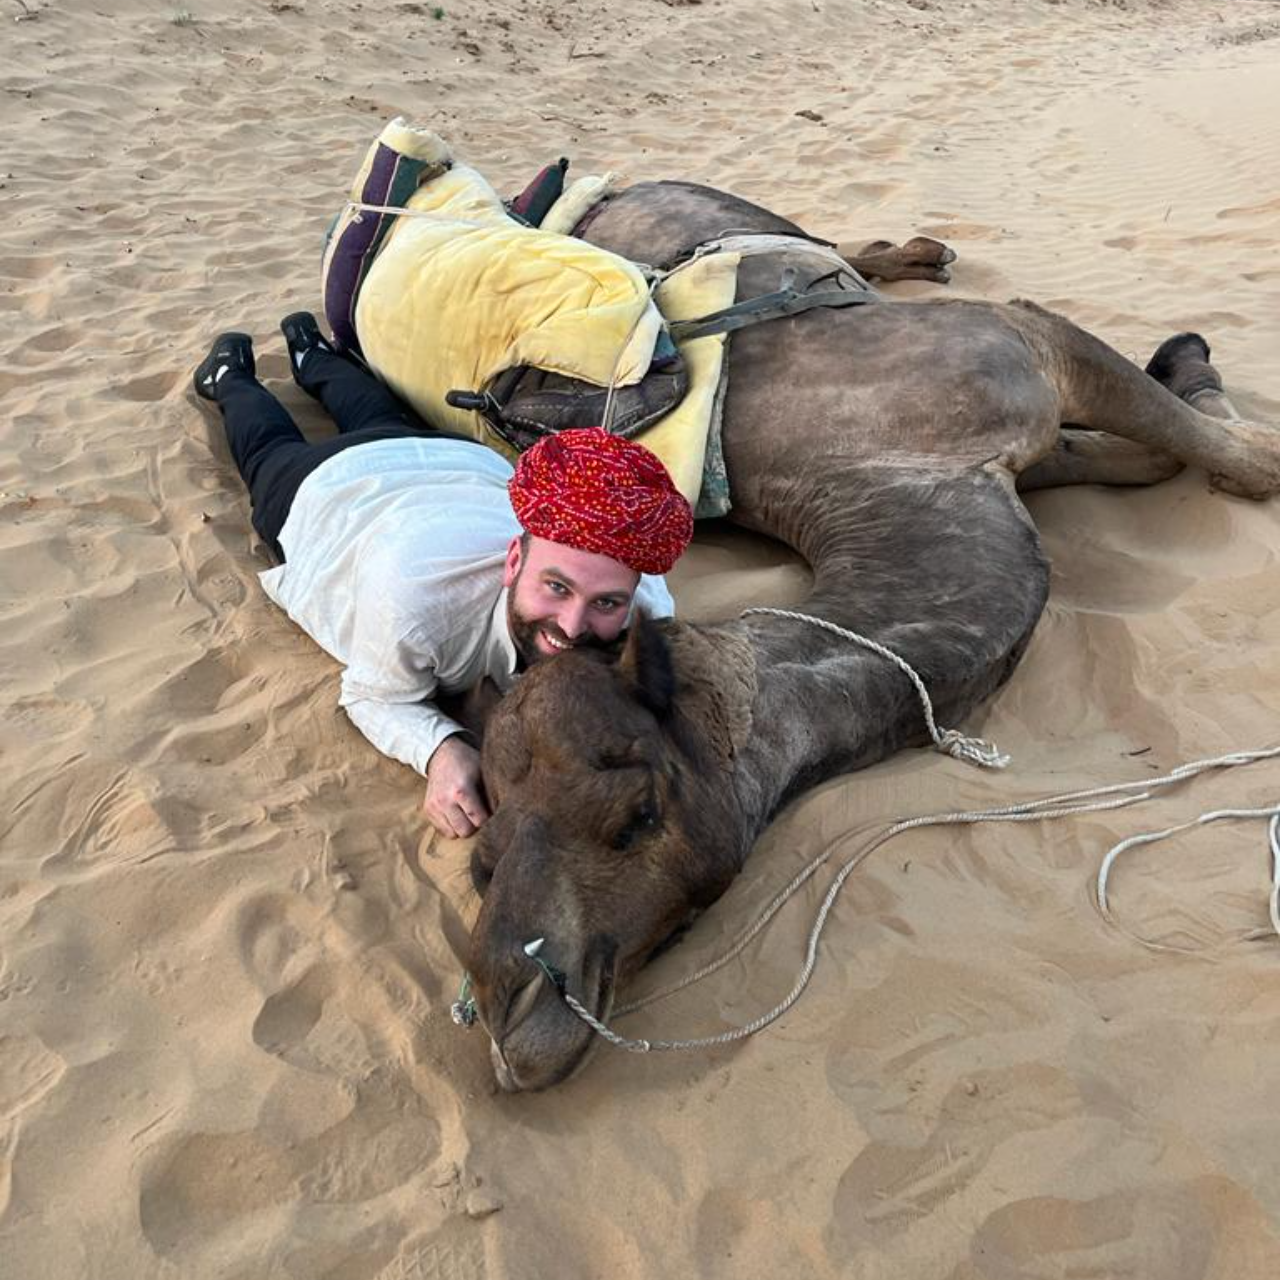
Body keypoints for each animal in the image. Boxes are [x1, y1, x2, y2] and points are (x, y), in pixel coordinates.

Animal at [456, 181, 1280, 1092]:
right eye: (482, 862)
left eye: (636, 815)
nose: (513, 1020)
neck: (875, 487)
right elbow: (1180, 458)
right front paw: (1184, 368)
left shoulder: (1022, 347)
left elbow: (1239, 457)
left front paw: (1187, 359)